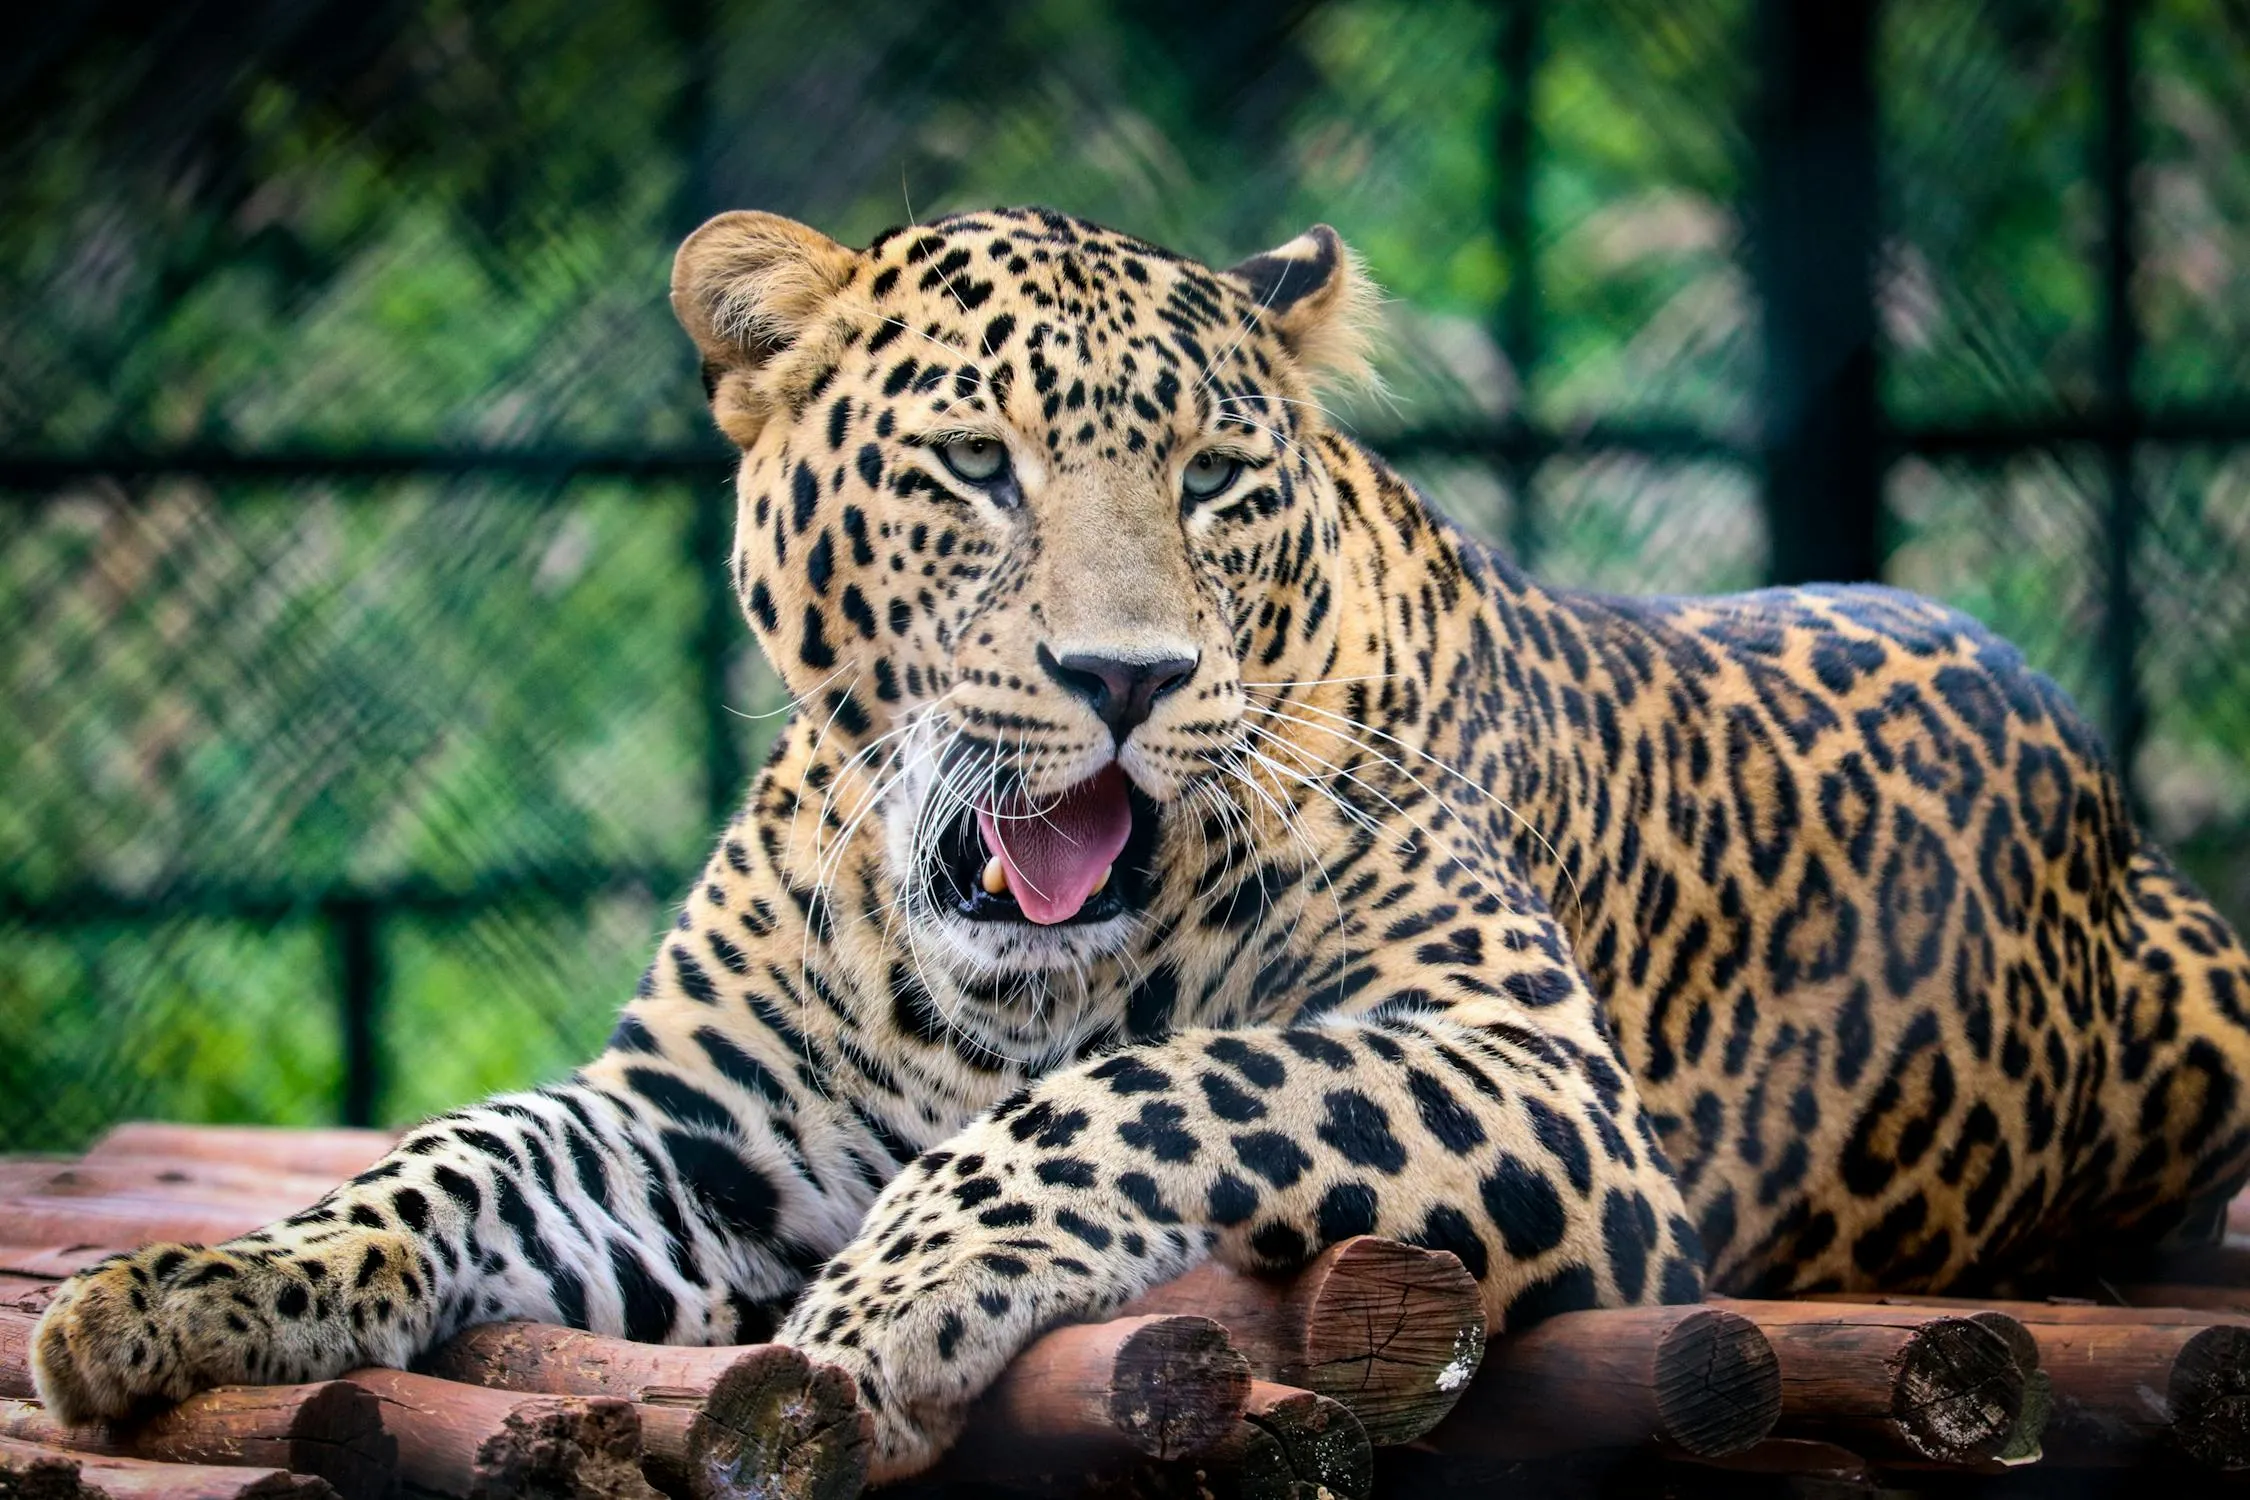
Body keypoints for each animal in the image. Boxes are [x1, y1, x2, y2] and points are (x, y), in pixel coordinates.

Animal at [34, 206, 2250, 1483]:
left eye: (1213, 480)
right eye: (972, 466)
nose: (1124, 676)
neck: (989, 980)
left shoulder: (1525, 1069)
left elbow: (1148, 1089)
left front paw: (888, 1303)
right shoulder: (694, 1126)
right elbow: (452, 1161)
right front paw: (182, 1292)